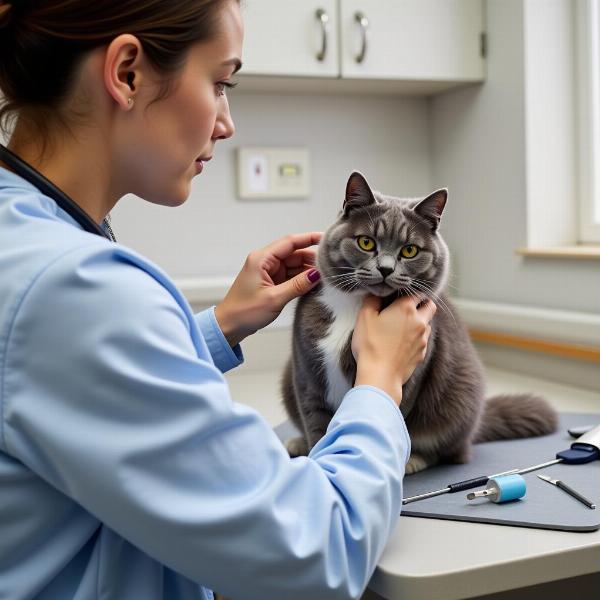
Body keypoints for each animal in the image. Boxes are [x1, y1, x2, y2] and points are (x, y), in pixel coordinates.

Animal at [282, 170, 556, 474]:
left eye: (410, 250)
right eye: (366, 242)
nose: (386, 268)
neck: (355, 306)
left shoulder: (412, 375)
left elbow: (393, 416)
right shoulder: (306, 373)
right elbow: (316, 427)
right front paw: (314, 456)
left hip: (459, 397)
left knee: (451, 451)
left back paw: (415, 460)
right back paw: (297, 443)